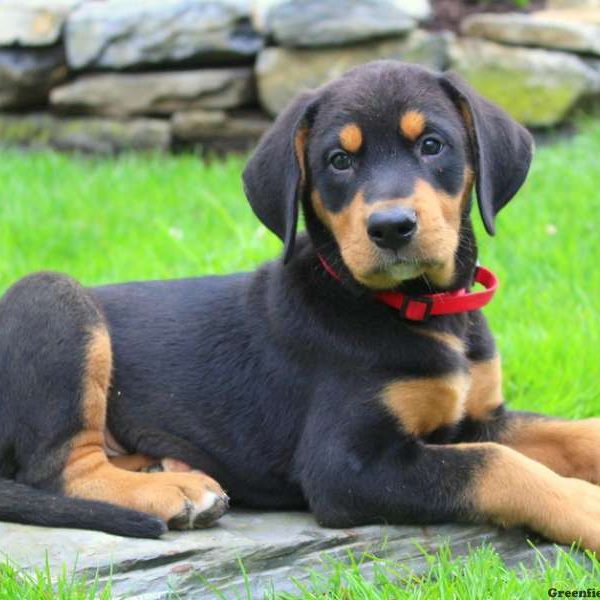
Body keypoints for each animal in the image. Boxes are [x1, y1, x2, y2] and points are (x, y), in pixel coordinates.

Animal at [1, 61, 600, 548]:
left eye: (432, 145)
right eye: (338, 161)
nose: (391, 227)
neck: (417, 307)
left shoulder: (475, 417)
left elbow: (569, 432)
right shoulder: (346, 467)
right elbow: (497, 466)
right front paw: (585, 509)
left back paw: (165, 466)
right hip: (53, 298)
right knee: (59, 469)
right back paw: (176, 491)